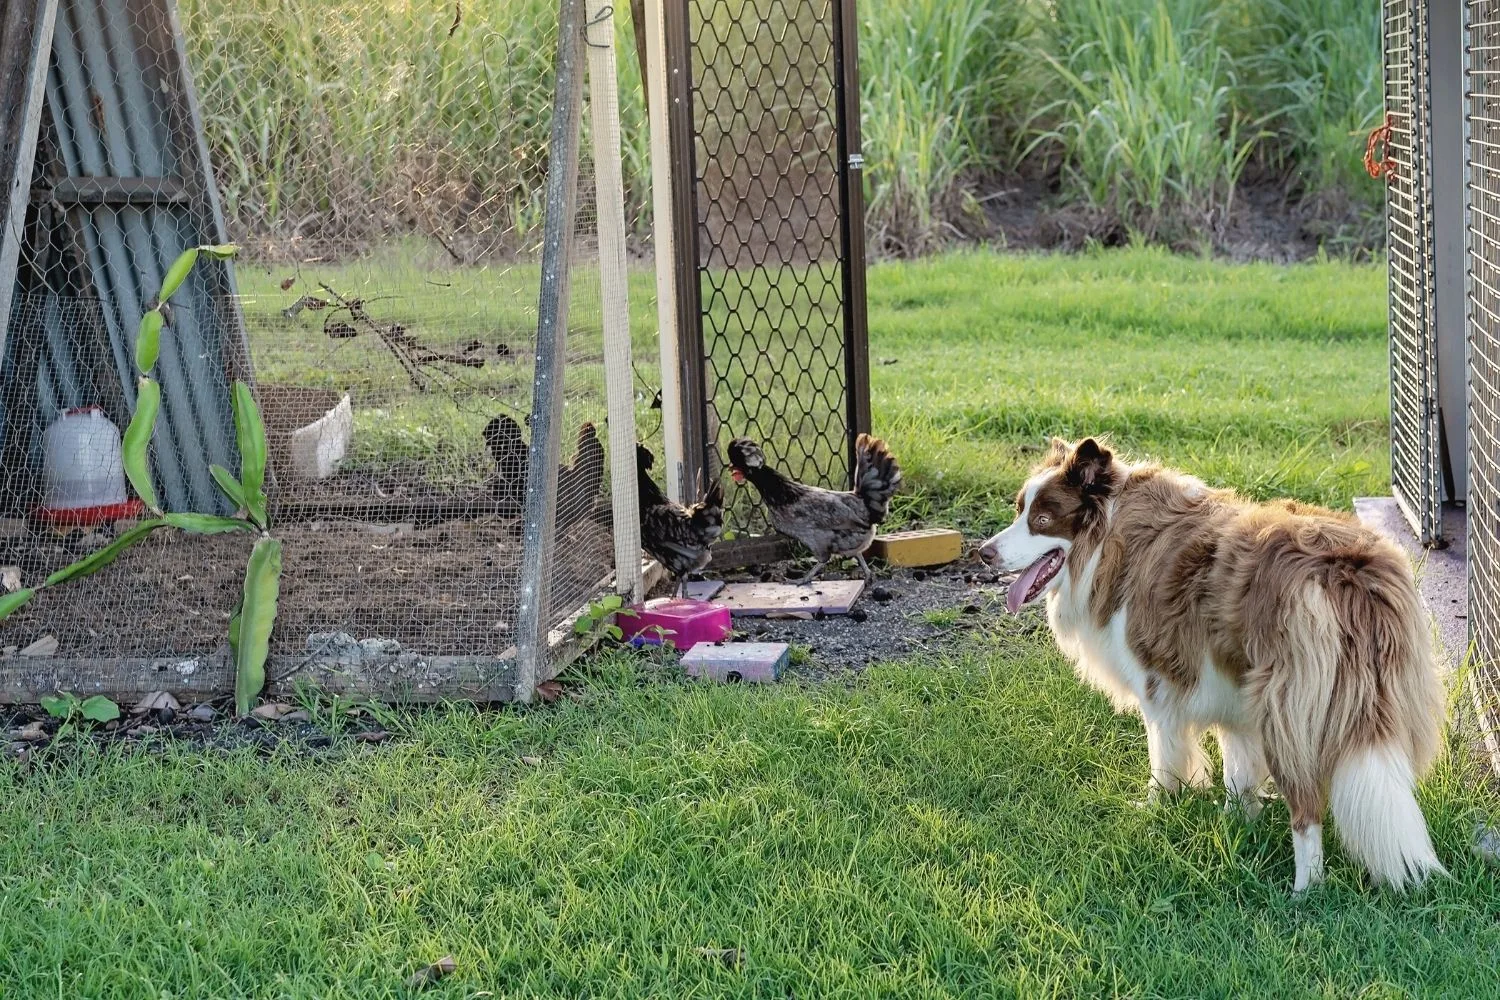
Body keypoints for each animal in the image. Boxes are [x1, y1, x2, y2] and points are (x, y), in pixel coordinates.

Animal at [978, 437, 1446, 893]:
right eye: (1019, 510)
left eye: (1042, 519)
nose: (983, 553)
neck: (1110, 531)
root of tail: (1348, 570)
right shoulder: (1233, 689)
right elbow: (1236, 767)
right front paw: (1238, 821)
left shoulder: (1159, 683)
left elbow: (1164, 756)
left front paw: (1155, 807)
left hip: (1285, 706)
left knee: (1307, 808)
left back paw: (1304, 891)